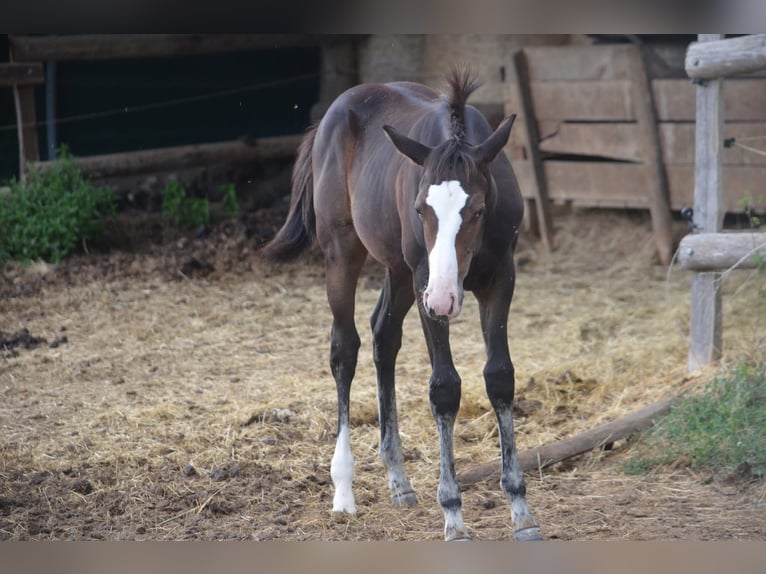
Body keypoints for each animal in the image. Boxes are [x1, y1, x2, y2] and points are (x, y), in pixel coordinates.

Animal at [261, 68, 541, 542]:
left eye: (478, 210)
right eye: (420, 209)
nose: (446, 297)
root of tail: (333, 111)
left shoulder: (501, 277)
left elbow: (500, 377)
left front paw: (521, 510)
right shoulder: (426, 279)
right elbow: (444, 387)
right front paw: (453, 515)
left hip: (399, 272)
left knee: (383, 336)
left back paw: (398, 479)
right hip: (346, 254)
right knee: (345, 348)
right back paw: (344, 491)